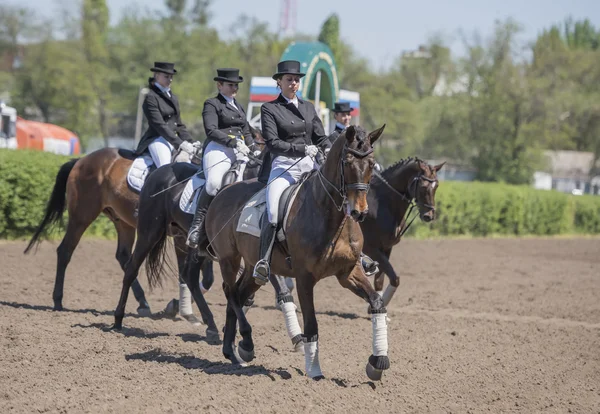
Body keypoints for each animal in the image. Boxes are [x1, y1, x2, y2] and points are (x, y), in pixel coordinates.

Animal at [204, 124, 390, 380]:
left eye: (371, 163)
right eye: (347, 162)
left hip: (252, 267)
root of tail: (223, 192)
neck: (330, 217)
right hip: (228, 259)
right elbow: (311, 325)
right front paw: (314, 372)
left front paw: (378, 361)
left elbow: (376, 302)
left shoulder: (348, 272)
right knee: (231, 292)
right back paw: (246, 344)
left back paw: (232, 351)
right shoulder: (304, 278)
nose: (359, 212)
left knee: (240, 295)